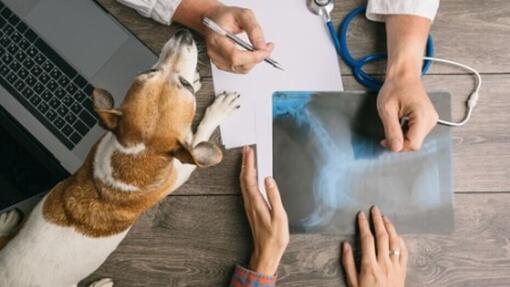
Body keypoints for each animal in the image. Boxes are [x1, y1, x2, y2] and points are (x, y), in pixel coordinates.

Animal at [0, 29, 241, 287]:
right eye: (149, 71)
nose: (183, 34)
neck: (137, 152)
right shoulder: (182, 168)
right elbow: (200, 134)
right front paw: (219, 109)